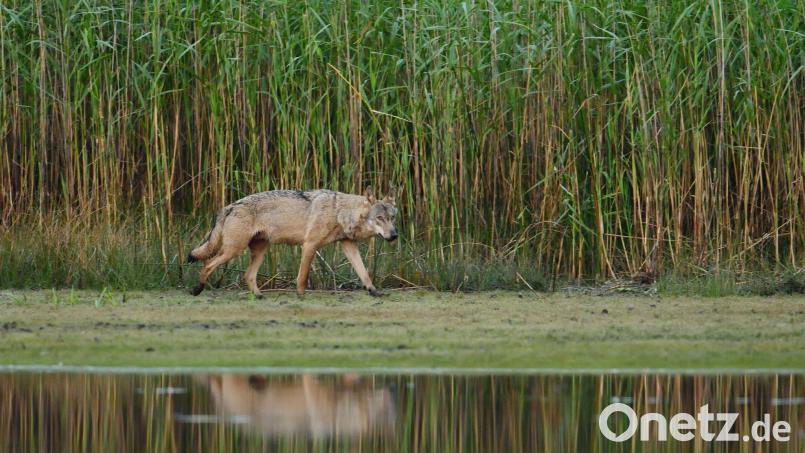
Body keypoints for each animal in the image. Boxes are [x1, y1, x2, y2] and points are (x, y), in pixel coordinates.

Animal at [187, 186, 398, 298]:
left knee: (248, 275)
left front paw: (374, 291)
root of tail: (230, 206)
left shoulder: (349, 246)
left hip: (259, 250)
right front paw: (301, 295)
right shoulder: (310, 245)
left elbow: (364, 273)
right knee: (207, 264)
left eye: (392, 218)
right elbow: (302, 276)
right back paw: (197, 289)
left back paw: (259, 296)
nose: (394, 235)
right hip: (233, 251)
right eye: (379, 218)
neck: (340, 212)